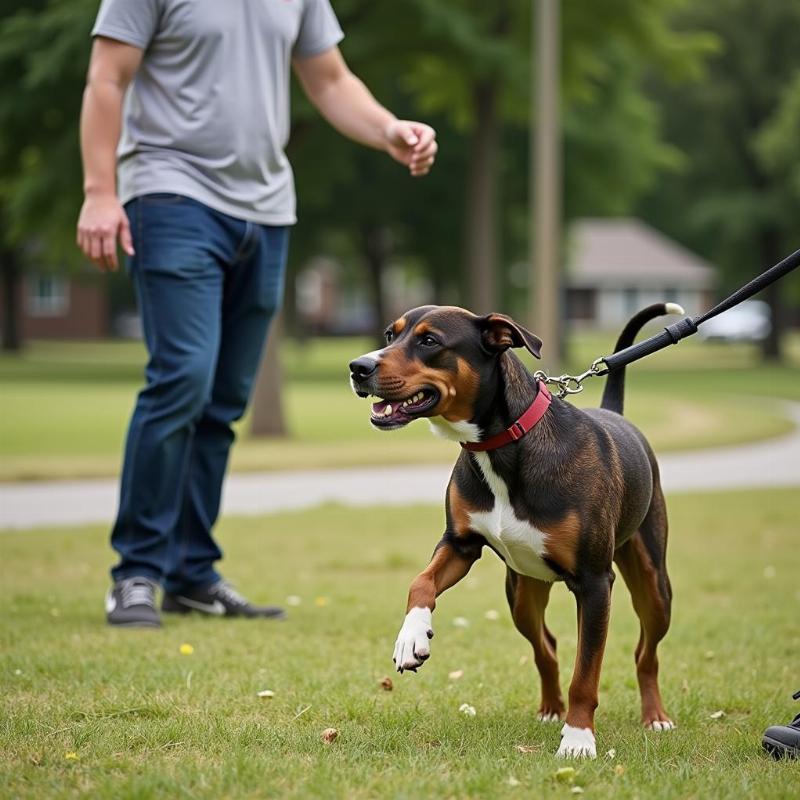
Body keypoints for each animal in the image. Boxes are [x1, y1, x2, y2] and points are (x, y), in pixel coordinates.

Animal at [346, 304, 684, 760]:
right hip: (522, 592)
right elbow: (421, 582)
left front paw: (579, 739)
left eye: (430, 340)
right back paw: (551, 709)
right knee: (547, 647)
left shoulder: (595, 583)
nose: (358, 367)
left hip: (653, 585)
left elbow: (586, 674)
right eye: (390, 334)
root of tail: (616, 413)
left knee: (645, 653)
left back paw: (654, 716)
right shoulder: (460, 545)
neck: (502, 446)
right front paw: (411, 638)